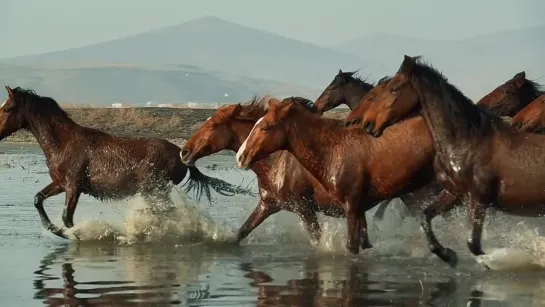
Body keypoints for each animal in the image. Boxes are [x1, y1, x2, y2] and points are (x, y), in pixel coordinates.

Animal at [0, 86, 251, 241]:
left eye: (7, 108)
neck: (64, 143)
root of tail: (181, 155)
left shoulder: (73, 186)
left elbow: (67, 219)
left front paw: (74, 235)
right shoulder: (60, 184)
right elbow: (38, 199)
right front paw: (52, 229)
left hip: (154, 188)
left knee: (165, 212)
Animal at [178, 96, 374, 248]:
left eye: (213, 125)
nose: (184, 152)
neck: (276, 161)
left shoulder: (305, 209)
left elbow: (317, 242)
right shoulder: (267, 205)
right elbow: (241, 233)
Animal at [234, 98, 442, 255]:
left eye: (266, 127)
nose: (241, 157)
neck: (332, 151)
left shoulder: (348, 205)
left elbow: (351, 247)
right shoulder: (358, 207)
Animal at [386, 56, 545, 268]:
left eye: (507, 91)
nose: (519, 120)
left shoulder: (478, 198)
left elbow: (474, 242)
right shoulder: (457, 194)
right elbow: (427, 217)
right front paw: (448, 254)